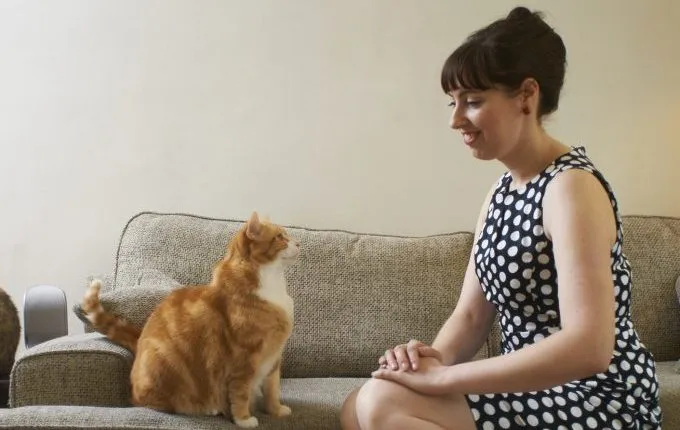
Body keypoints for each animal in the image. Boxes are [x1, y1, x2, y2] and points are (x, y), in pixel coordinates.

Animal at [81, 212, 298, 426]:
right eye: (280, 237)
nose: (298, 243)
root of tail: (140, 338)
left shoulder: (274, 357)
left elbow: (272, 388)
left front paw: (276, 410)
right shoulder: (243, 359)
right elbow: (240, 393)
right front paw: (244, 420)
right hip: (164, 364)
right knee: (145, 402)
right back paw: (207, 408)